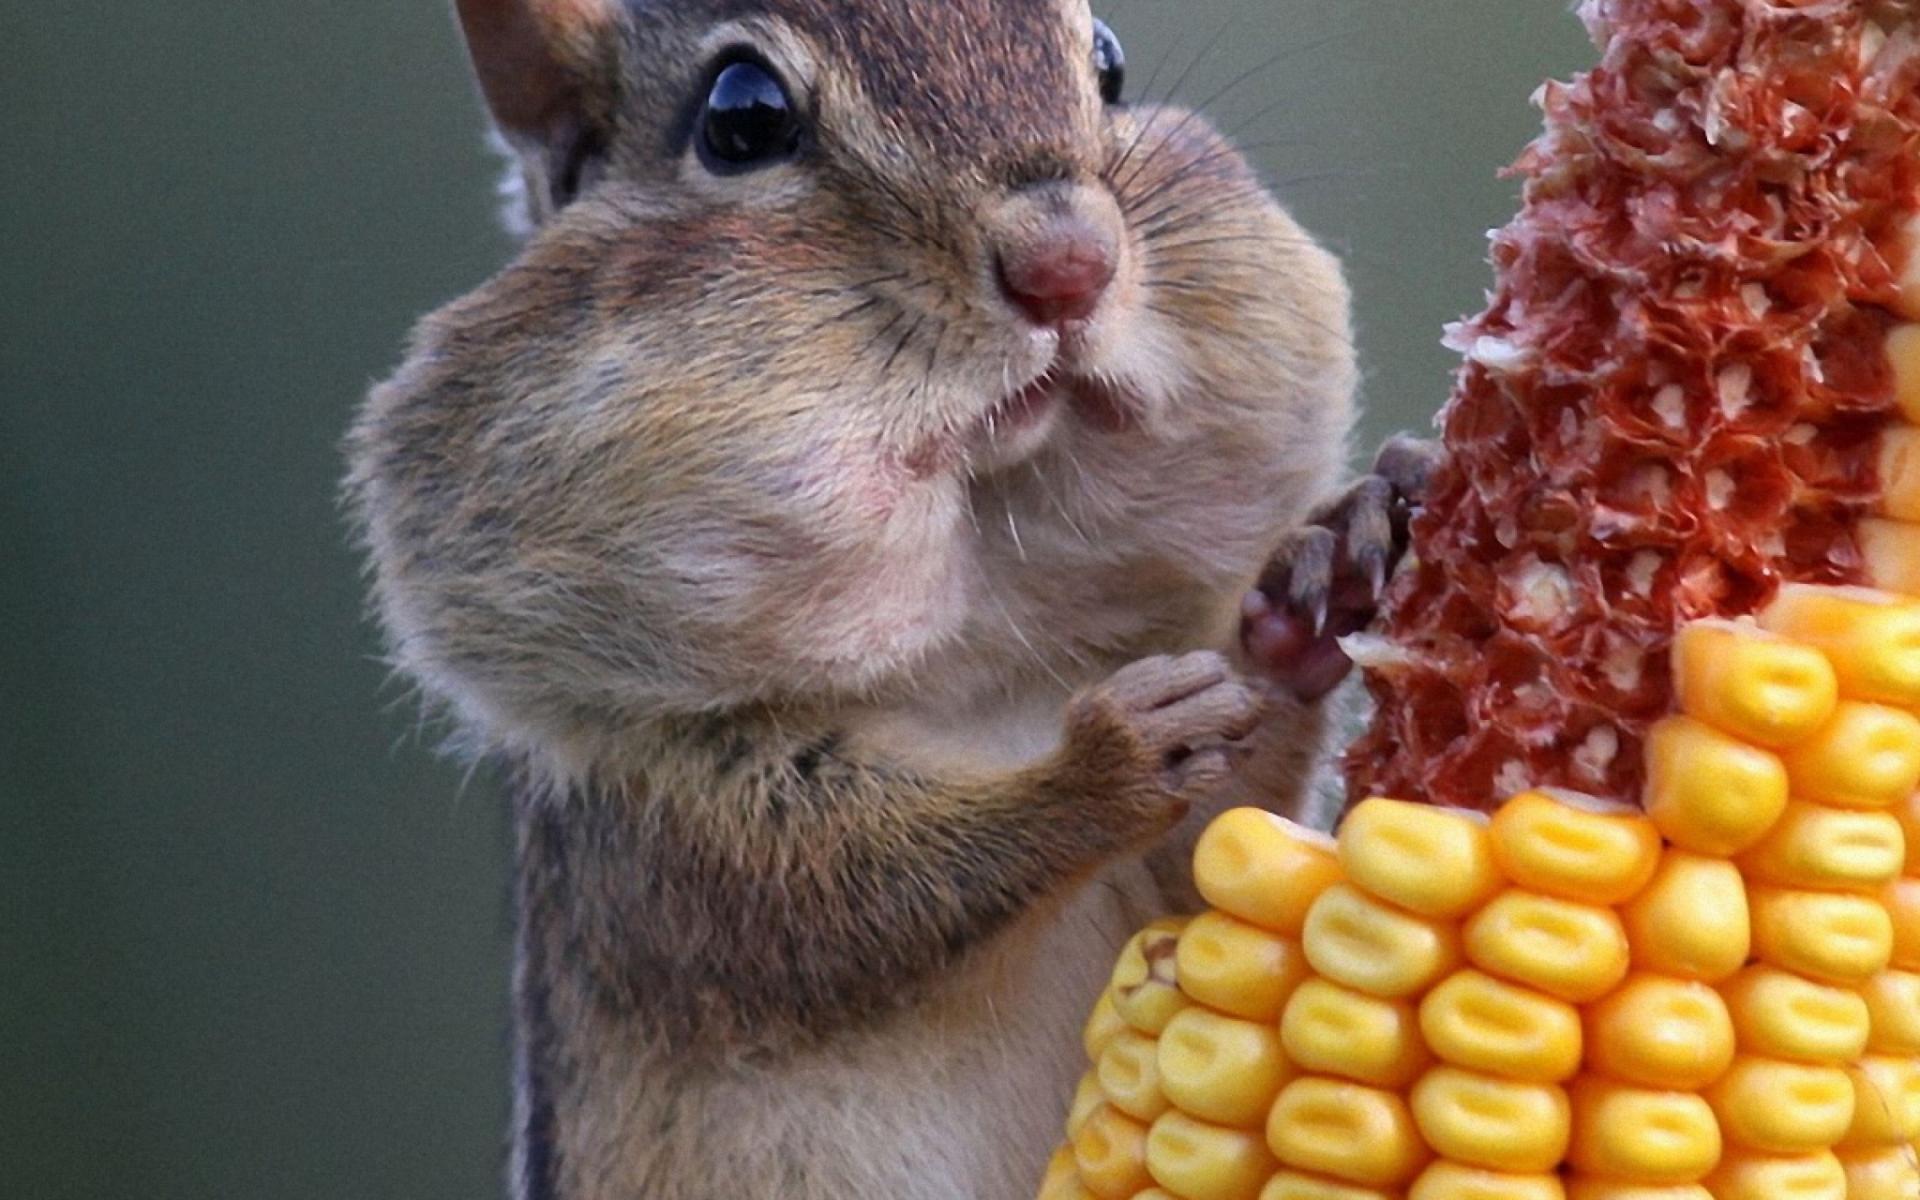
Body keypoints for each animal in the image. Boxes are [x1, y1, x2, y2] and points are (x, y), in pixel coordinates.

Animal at [344, 1, 1432, 1198]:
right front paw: (1107, 762)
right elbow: (850, 900)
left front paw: (1327, 566)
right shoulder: (656, 831)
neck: (985, 660)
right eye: (741, 116)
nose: (1070, 263)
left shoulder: (1169, 898)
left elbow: (1216, 856)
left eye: (1109, 62)